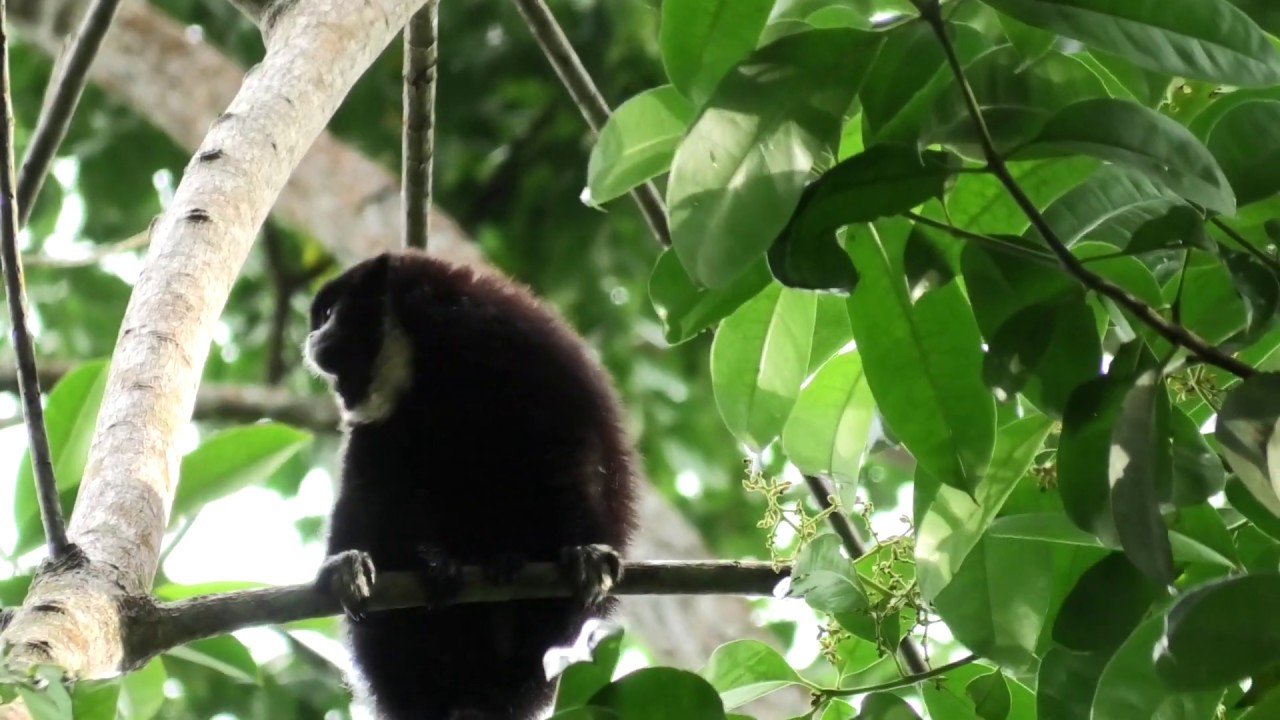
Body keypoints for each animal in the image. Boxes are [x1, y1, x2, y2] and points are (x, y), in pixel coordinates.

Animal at [302, 249, 641, 720]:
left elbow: (576, 450)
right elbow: (367, 490)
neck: (436, 361)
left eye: (330, 314)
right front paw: (346, 565)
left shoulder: (529, 351)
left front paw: (584, 552)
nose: (313, 336)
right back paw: (431, 564)